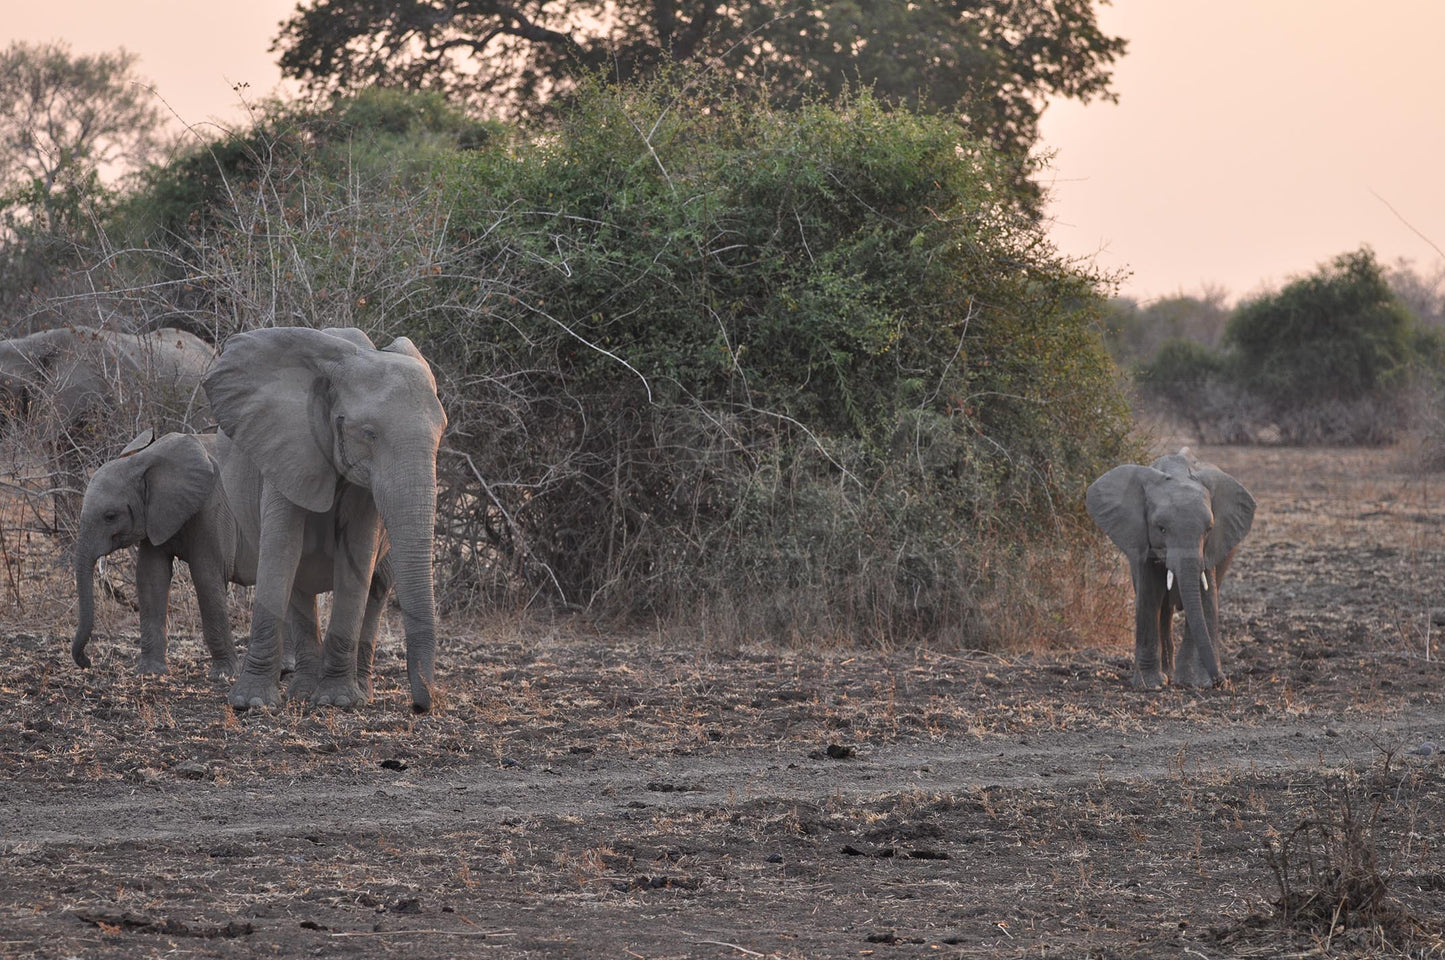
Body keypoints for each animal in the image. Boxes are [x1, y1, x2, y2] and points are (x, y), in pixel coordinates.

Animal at [71, 427, 393, 682]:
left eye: (110, 516)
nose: (87, 662)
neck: (144, 459)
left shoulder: (211, 508)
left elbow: (206, 577)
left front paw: (224, 675)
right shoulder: (157, 516)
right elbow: (150, 578)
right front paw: (150, 672)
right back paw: (286, 670)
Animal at [200, 329, 442, 711]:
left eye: (441, 434)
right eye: (369, 433)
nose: (420, 707)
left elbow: (358, 557)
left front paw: (337, 701)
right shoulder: (285, 448)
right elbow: (281, 551)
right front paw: (251, 703)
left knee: (377, 585)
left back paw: (358, 691)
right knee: (297, 583)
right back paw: (301, 693)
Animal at [1086, 451, 1254, 691]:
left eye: (1208, 529)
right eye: (1161, 529)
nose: (1222, 682)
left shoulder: (1211, 547)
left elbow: (1206, 595)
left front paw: (1197, 682)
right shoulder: (1141, 538)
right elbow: (1149, 597)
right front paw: (1150, 685)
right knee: (1163, 608)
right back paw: (1167, 675)